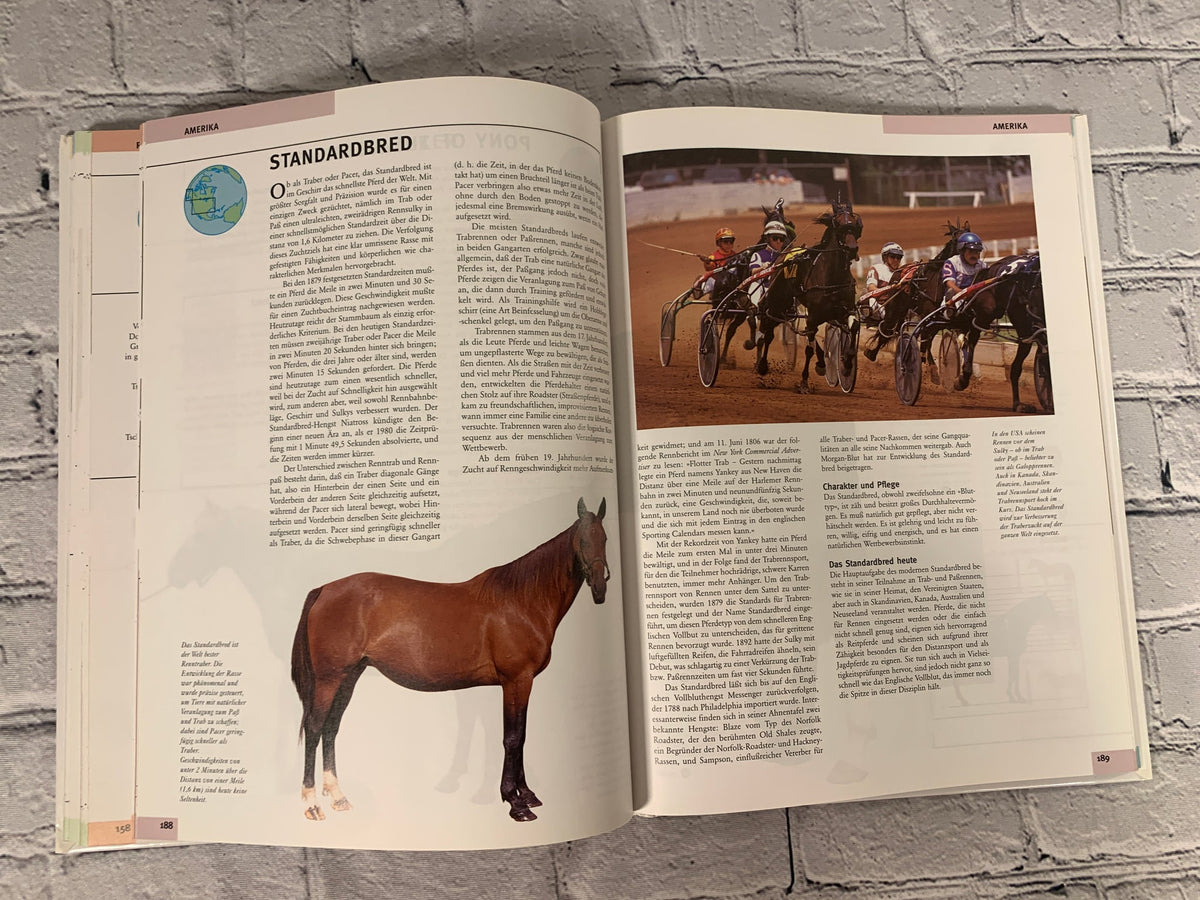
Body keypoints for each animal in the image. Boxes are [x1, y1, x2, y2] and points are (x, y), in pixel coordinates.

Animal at [290, 497, 610, 823]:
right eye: (583, 540)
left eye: (605, 539)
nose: (600, 587)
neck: (522, 601)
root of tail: (324, 590)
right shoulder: (516, 679)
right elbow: (512, 737)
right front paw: (515, 802)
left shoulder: (523, 682)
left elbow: (521, 735)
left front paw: (527, 795)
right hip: (329, 679)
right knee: (315, 728)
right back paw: (311, 804)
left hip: (348, 677)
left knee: (331, 728)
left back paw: (339, 797)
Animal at [753, 197, 861, 390]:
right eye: (839, 224)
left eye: (855, 223)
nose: (852, 249)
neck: (832, 276)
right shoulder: (814, 315)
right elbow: (809, 348)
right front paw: (804, 381)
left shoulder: (844, 310)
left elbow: (854, 326)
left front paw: (847, 363)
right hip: (777, 303)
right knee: (768, 331)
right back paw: (763, 365)